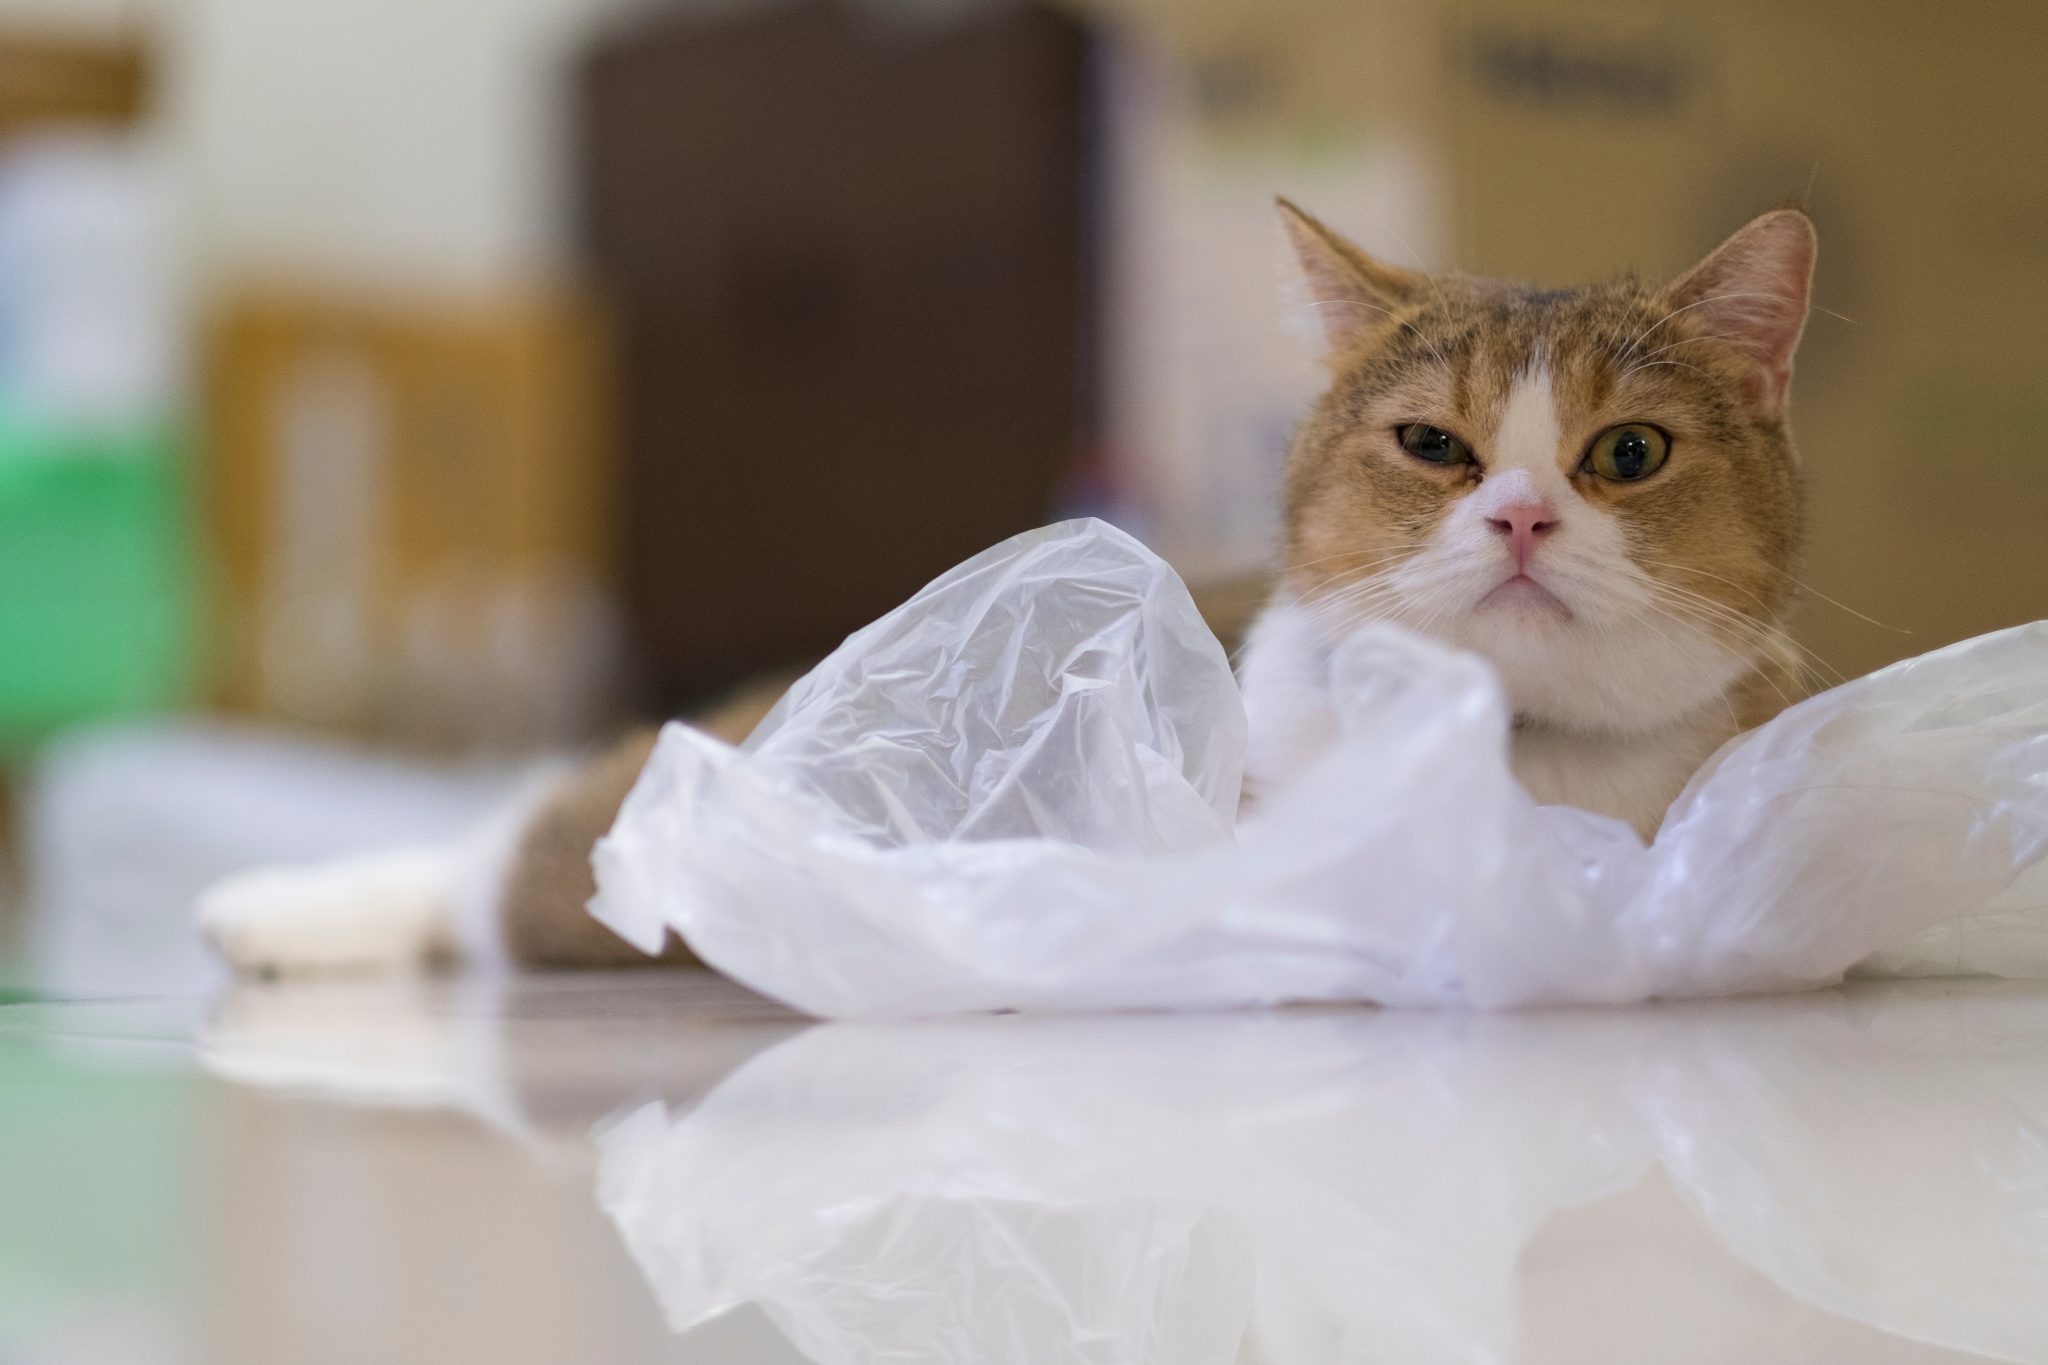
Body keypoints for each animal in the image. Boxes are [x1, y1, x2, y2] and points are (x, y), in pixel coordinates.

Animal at [199, 202, 1818, 978]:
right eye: (1433, 445)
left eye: (1627, 452)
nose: (1525, 514)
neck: (1499, 760)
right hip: (615, 859)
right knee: (500, 857)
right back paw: (273, 913)